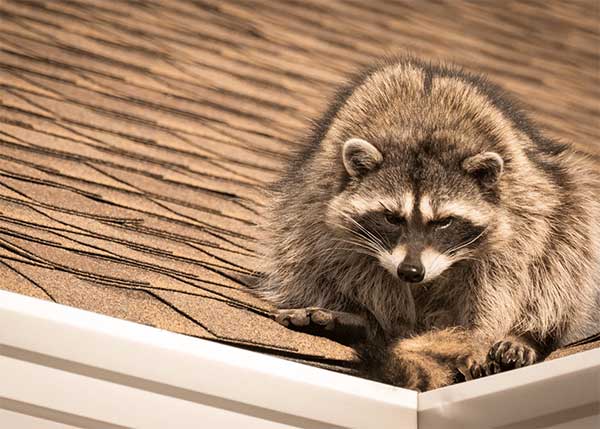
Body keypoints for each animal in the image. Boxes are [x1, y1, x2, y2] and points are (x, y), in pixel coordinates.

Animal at [254, 55, 600, 390]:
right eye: (392, 218)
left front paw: (480, 336)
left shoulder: (519, 215)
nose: (410, 271)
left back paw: (524, 335)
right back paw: (363, 320)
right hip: (299, 208)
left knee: (564, 254)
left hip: (564, 198)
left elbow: (501, 281)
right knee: (301, 251)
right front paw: (387, 322)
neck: (424, 131)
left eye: (444, 222)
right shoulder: (326, 203)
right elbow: (352, 263)